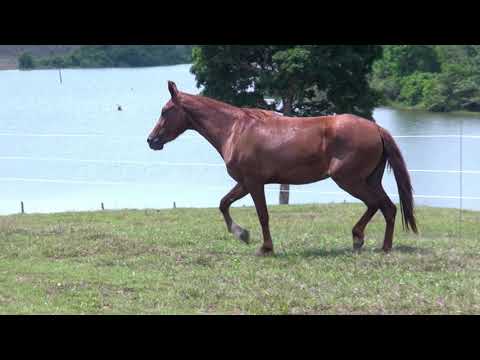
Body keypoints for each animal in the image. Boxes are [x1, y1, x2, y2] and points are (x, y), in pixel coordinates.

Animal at [147, 81, 416, 256]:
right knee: (386, 207)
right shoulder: (244, 182)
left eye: (165, 111)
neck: (235, 129)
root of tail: (376, 129)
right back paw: (375, 244)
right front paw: (242, 234)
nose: (151, 140)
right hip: (369, 180)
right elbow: (223, 203)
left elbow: (263, 215)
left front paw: (263, 247)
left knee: (379, 205)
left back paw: (367, 241)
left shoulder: (254, 183)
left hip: (350, 180)